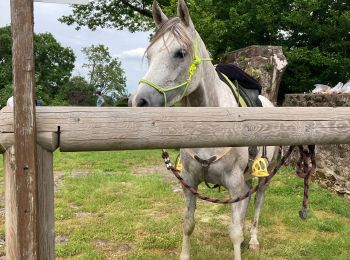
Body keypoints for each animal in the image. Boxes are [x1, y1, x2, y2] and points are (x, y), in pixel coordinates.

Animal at [129, 1, 278, 258]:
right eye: (149, 55)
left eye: (180, 53)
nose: (139, 102)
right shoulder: (190, 181)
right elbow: (188, 224)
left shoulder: (233, 183)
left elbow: (234, 232)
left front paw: (241, 241)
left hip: (263, 176)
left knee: (258, 202)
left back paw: (253, 240)